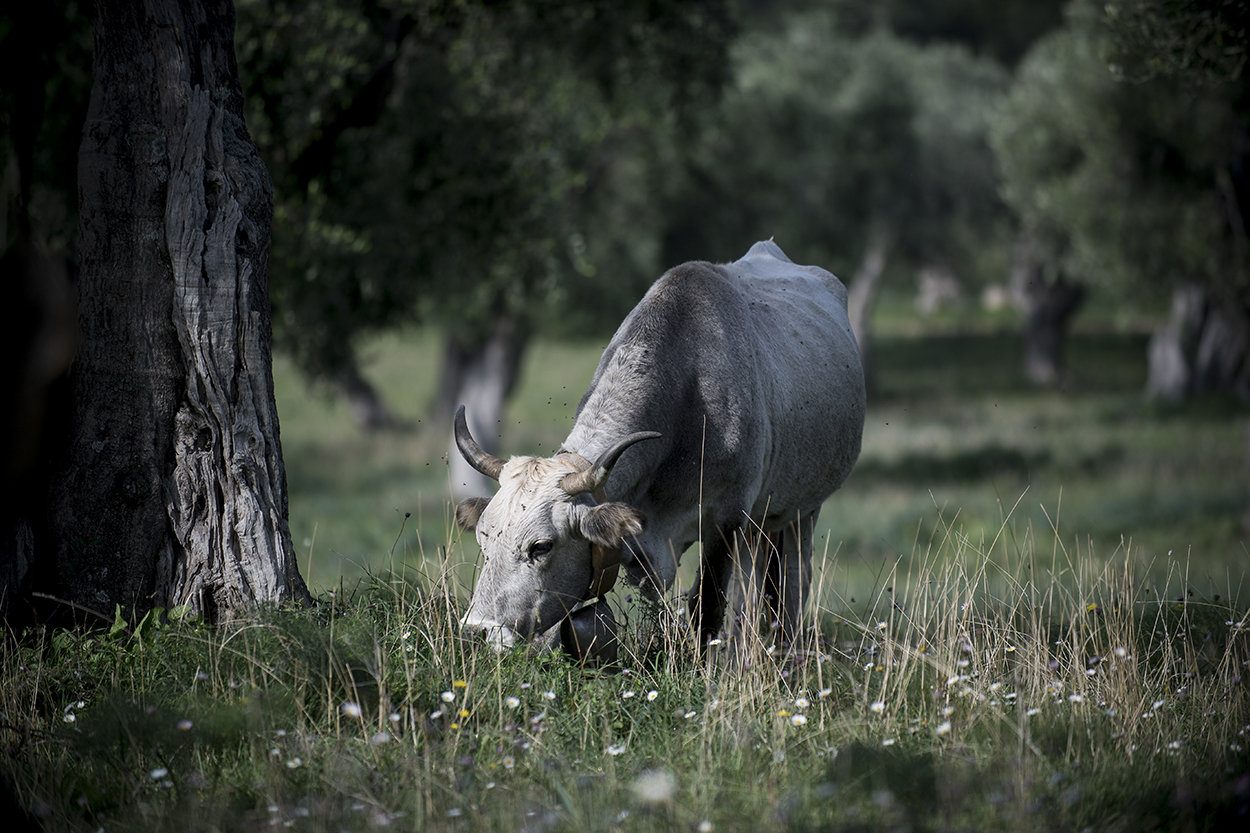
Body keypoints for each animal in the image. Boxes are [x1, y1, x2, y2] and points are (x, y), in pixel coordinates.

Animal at [453, 240, 866, 655]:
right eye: (483, 538)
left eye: (541, 546)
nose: (477, 631)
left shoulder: (726, 520)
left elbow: (708, 609)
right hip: (764, 523)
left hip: (802, 511)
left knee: (790, 585)